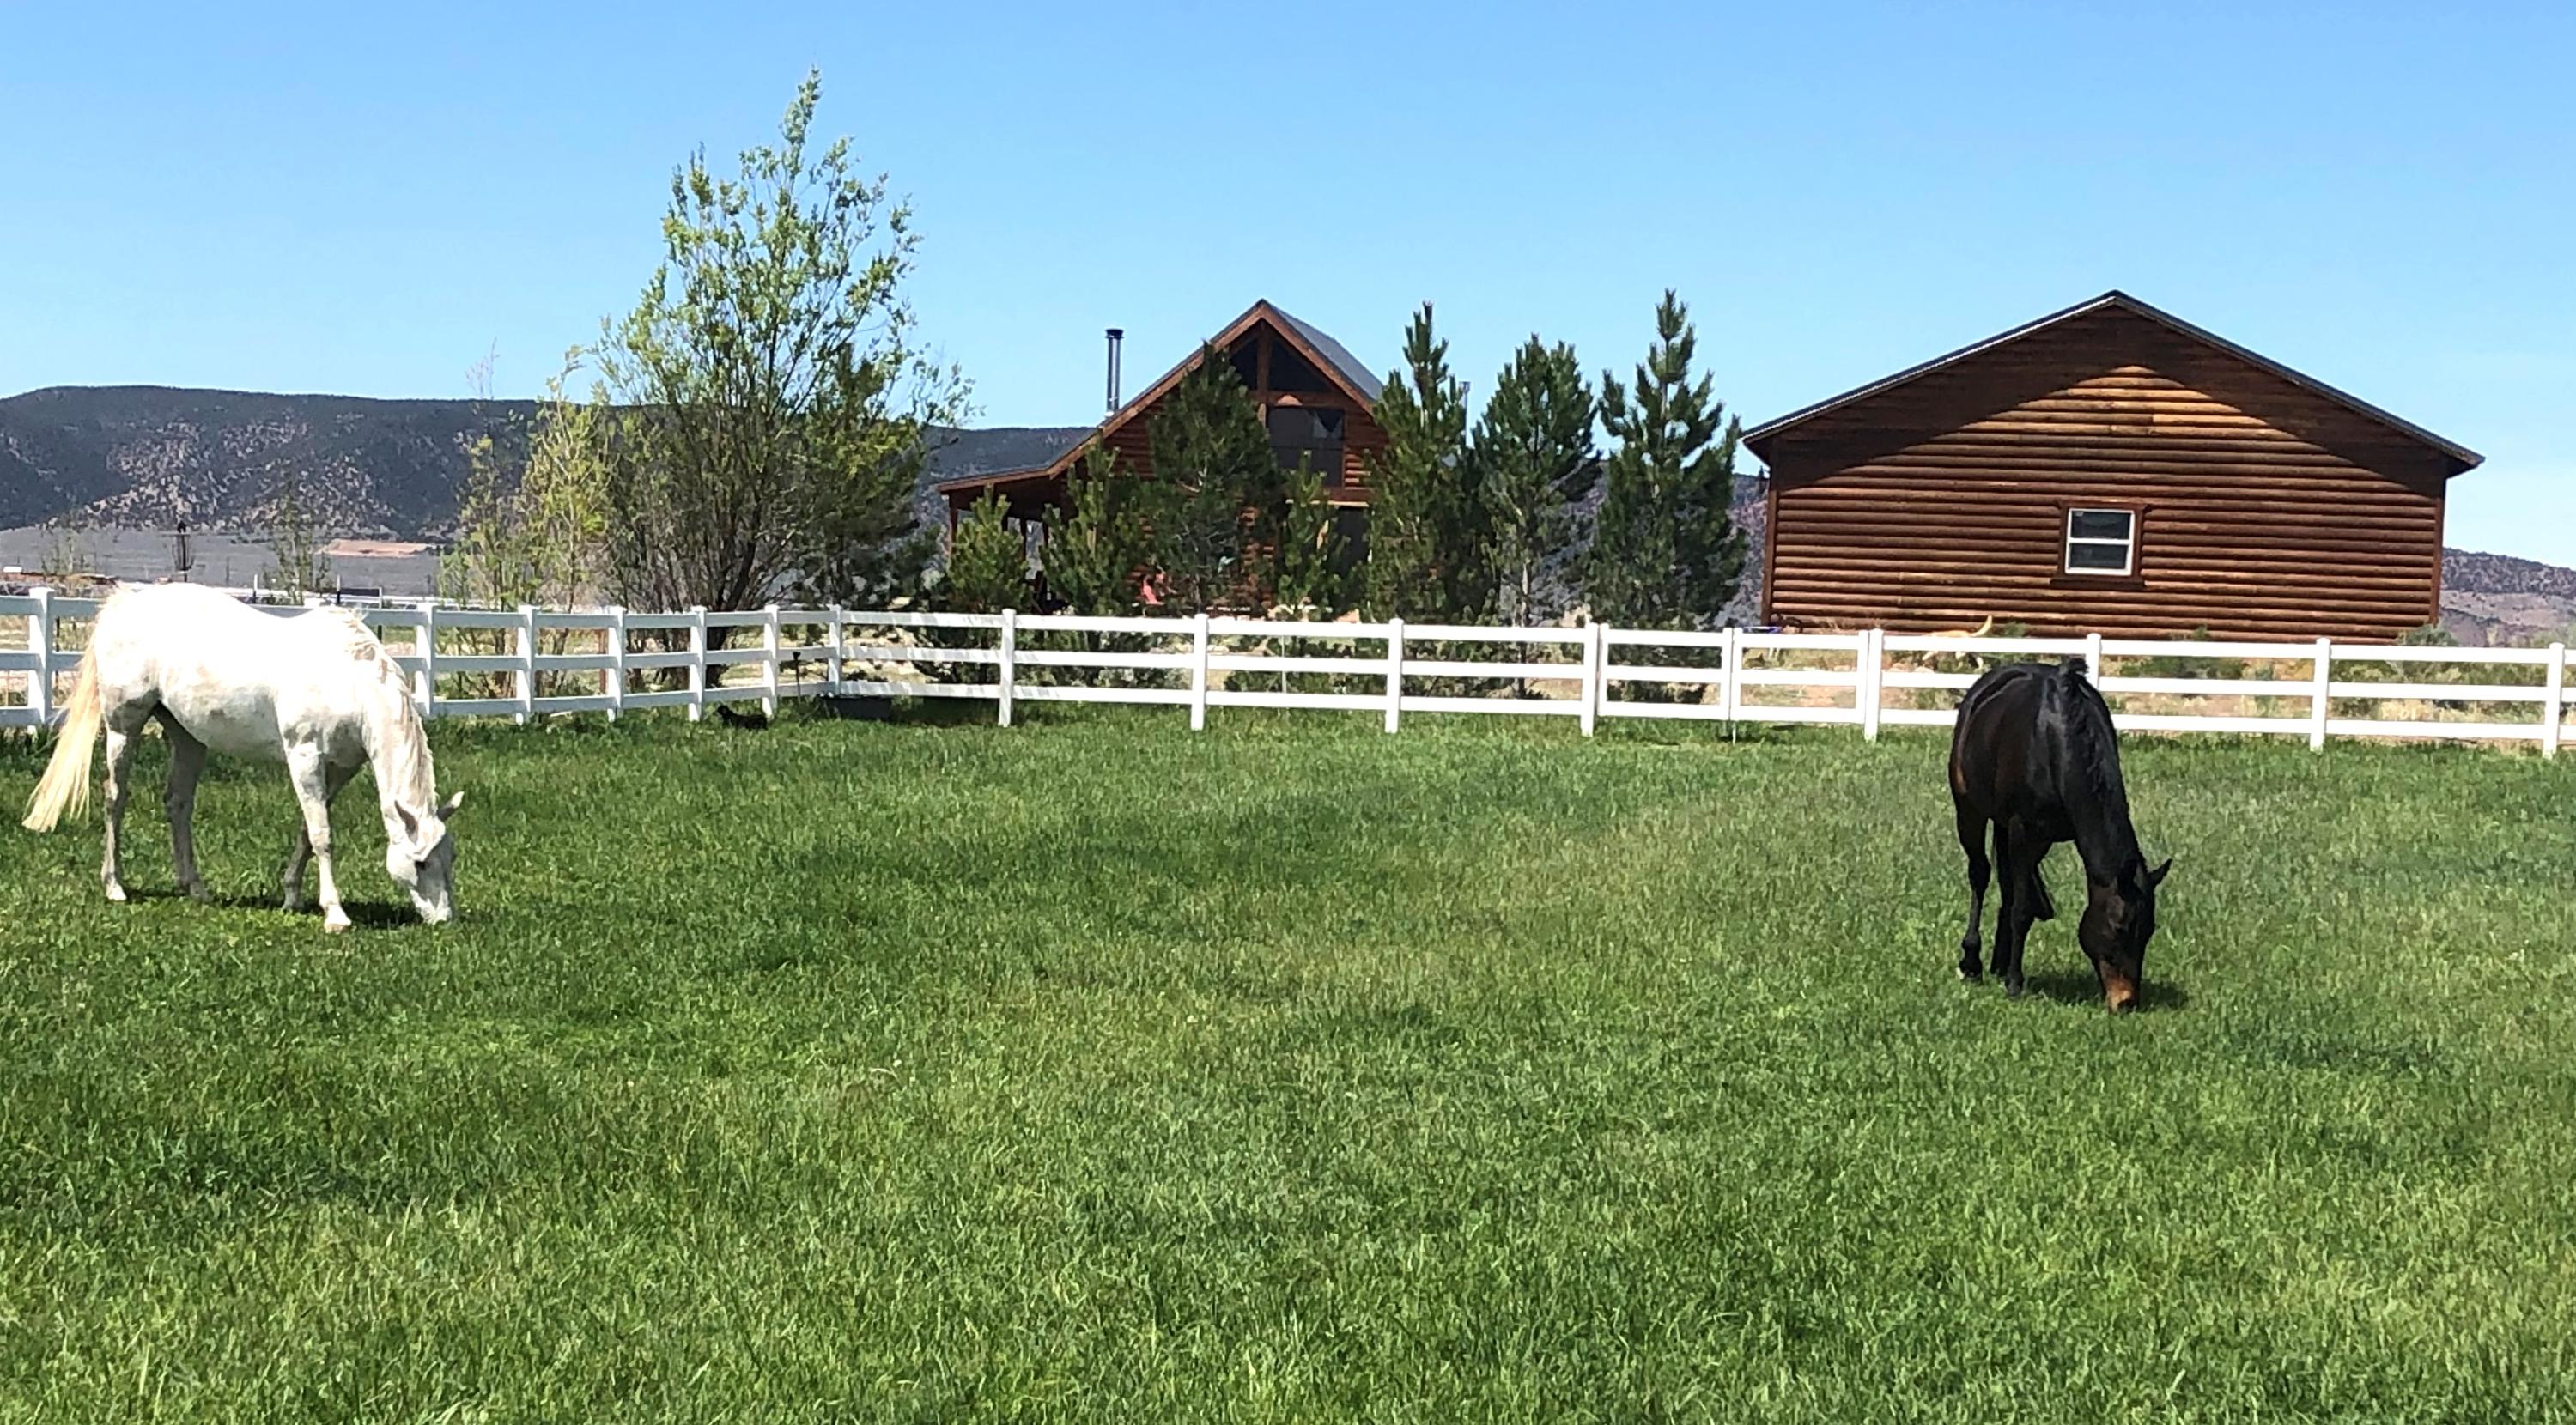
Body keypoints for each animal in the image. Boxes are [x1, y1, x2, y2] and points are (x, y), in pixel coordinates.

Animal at [21, 583, 462, 931]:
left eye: (451, 858)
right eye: (420, 863)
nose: (443, 919)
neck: (347, 681)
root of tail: (127, 601)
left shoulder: (339, 768)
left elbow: (308, 831)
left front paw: (291, 897)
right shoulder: (304, 757)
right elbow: (322, 836)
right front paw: (335, 914)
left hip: (187, 737)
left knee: (178, 803)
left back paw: (195, 888)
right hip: (122, 727)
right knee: (115, 798)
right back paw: (115, 886)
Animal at [1948, 658, 2170, 1011]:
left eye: (2149, 930)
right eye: (2119, 927)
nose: (2126, 1002)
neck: (2058, 739)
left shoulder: (2040, 837)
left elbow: (2018, 898)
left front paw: (2008, 970)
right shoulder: (2022, 830)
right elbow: (2022, 909)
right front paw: (2014, 983)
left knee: (2007, 885)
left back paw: (1998, 962)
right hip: (1969, 810)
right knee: (1980, 875)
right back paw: (1973, 963)